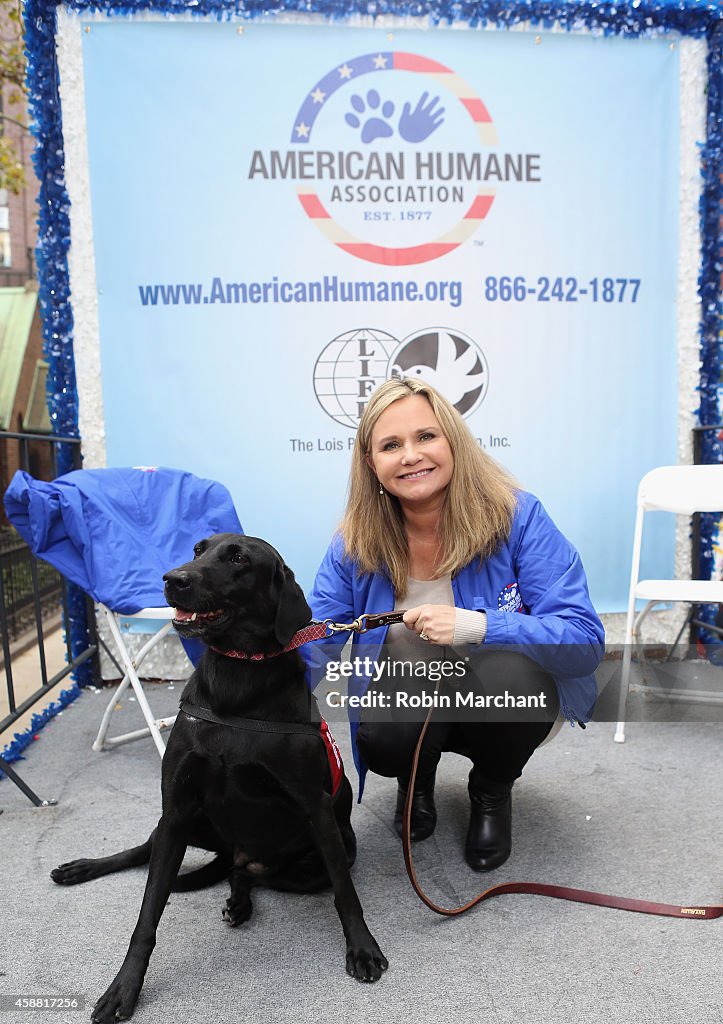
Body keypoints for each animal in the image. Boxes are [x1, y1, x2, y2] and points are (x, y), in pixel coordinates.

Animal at [49, 532, 385, 1019]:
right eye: (197, 550)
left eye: (238, 558)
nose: (172, 579)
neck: (237, 676)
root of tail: (236, 851)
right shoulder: (176, 811)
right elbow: (147, 913)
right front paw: (123, 988)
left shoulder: (317, 810)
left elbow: (346, 893)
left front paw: (362, 948)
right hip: (191, 824)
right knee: (143, 853)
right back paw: (82, 868)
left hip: (317, 859)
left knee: (246, 874)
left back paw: (239, 902)